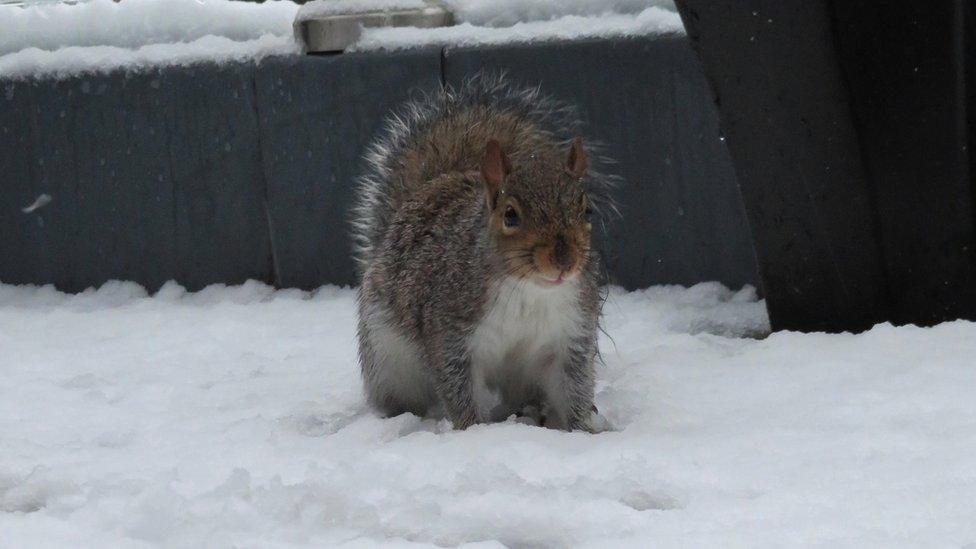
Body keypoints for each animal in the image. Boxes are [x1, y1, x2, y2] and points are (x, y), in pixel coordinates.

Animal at [350, 74, 612, 432]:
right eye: (510, 215)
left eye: (587, 211)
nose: (564, 261)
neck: (528, 290)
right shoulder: (452, 334)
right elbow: (458, 387)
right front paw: (472, 431)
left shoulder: (569, 337)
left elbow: (573, 388)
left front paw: (584, 429)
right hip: (389, 358)